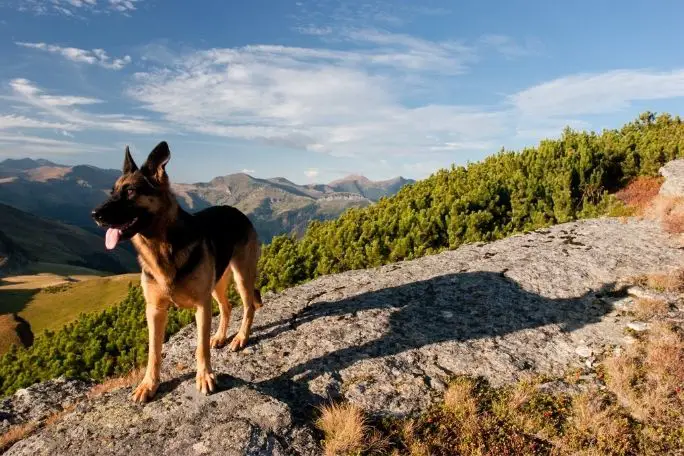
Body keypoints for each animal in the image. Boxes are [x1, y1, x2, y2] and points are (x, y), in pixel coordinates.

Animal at [91, 142, 262, 402]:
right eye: (112, 191)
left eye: (130, 191)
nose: (95, 214)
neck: (162, 246)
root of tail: (237, 211)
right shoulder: (155, 310)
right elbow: (153, 351)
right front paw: (149, 384)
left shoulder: (201, 306)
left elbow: (200, 347)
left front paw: (205, 376)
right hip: (217, 284)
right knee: (227, 306)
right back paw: (221, 336)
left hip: (241, 276)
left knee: (249, 306)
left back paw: (241, 338)